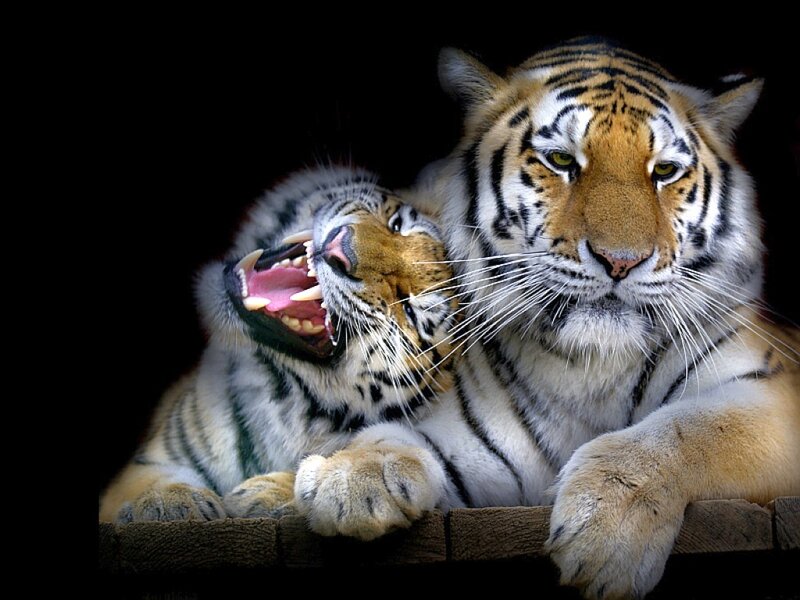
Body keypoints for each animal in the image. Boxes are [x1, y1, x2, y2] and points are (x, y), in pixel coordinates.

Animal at [99, 166, 459, 523]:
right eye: (397, 225)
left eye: (408, 307)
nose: (341, 249)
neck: (279, 393)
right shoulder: (147, 463)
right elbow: (149, 482)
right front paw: (168, 502)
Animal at [291, 40, 800, 599]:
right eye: (560, 161)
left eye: (664, 171)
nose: (620, 261)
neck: (591, 366)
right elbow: (422, 439)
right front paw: (349, 476)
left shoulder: (774, 394)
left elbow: (689, 430)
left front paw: (606, 535)